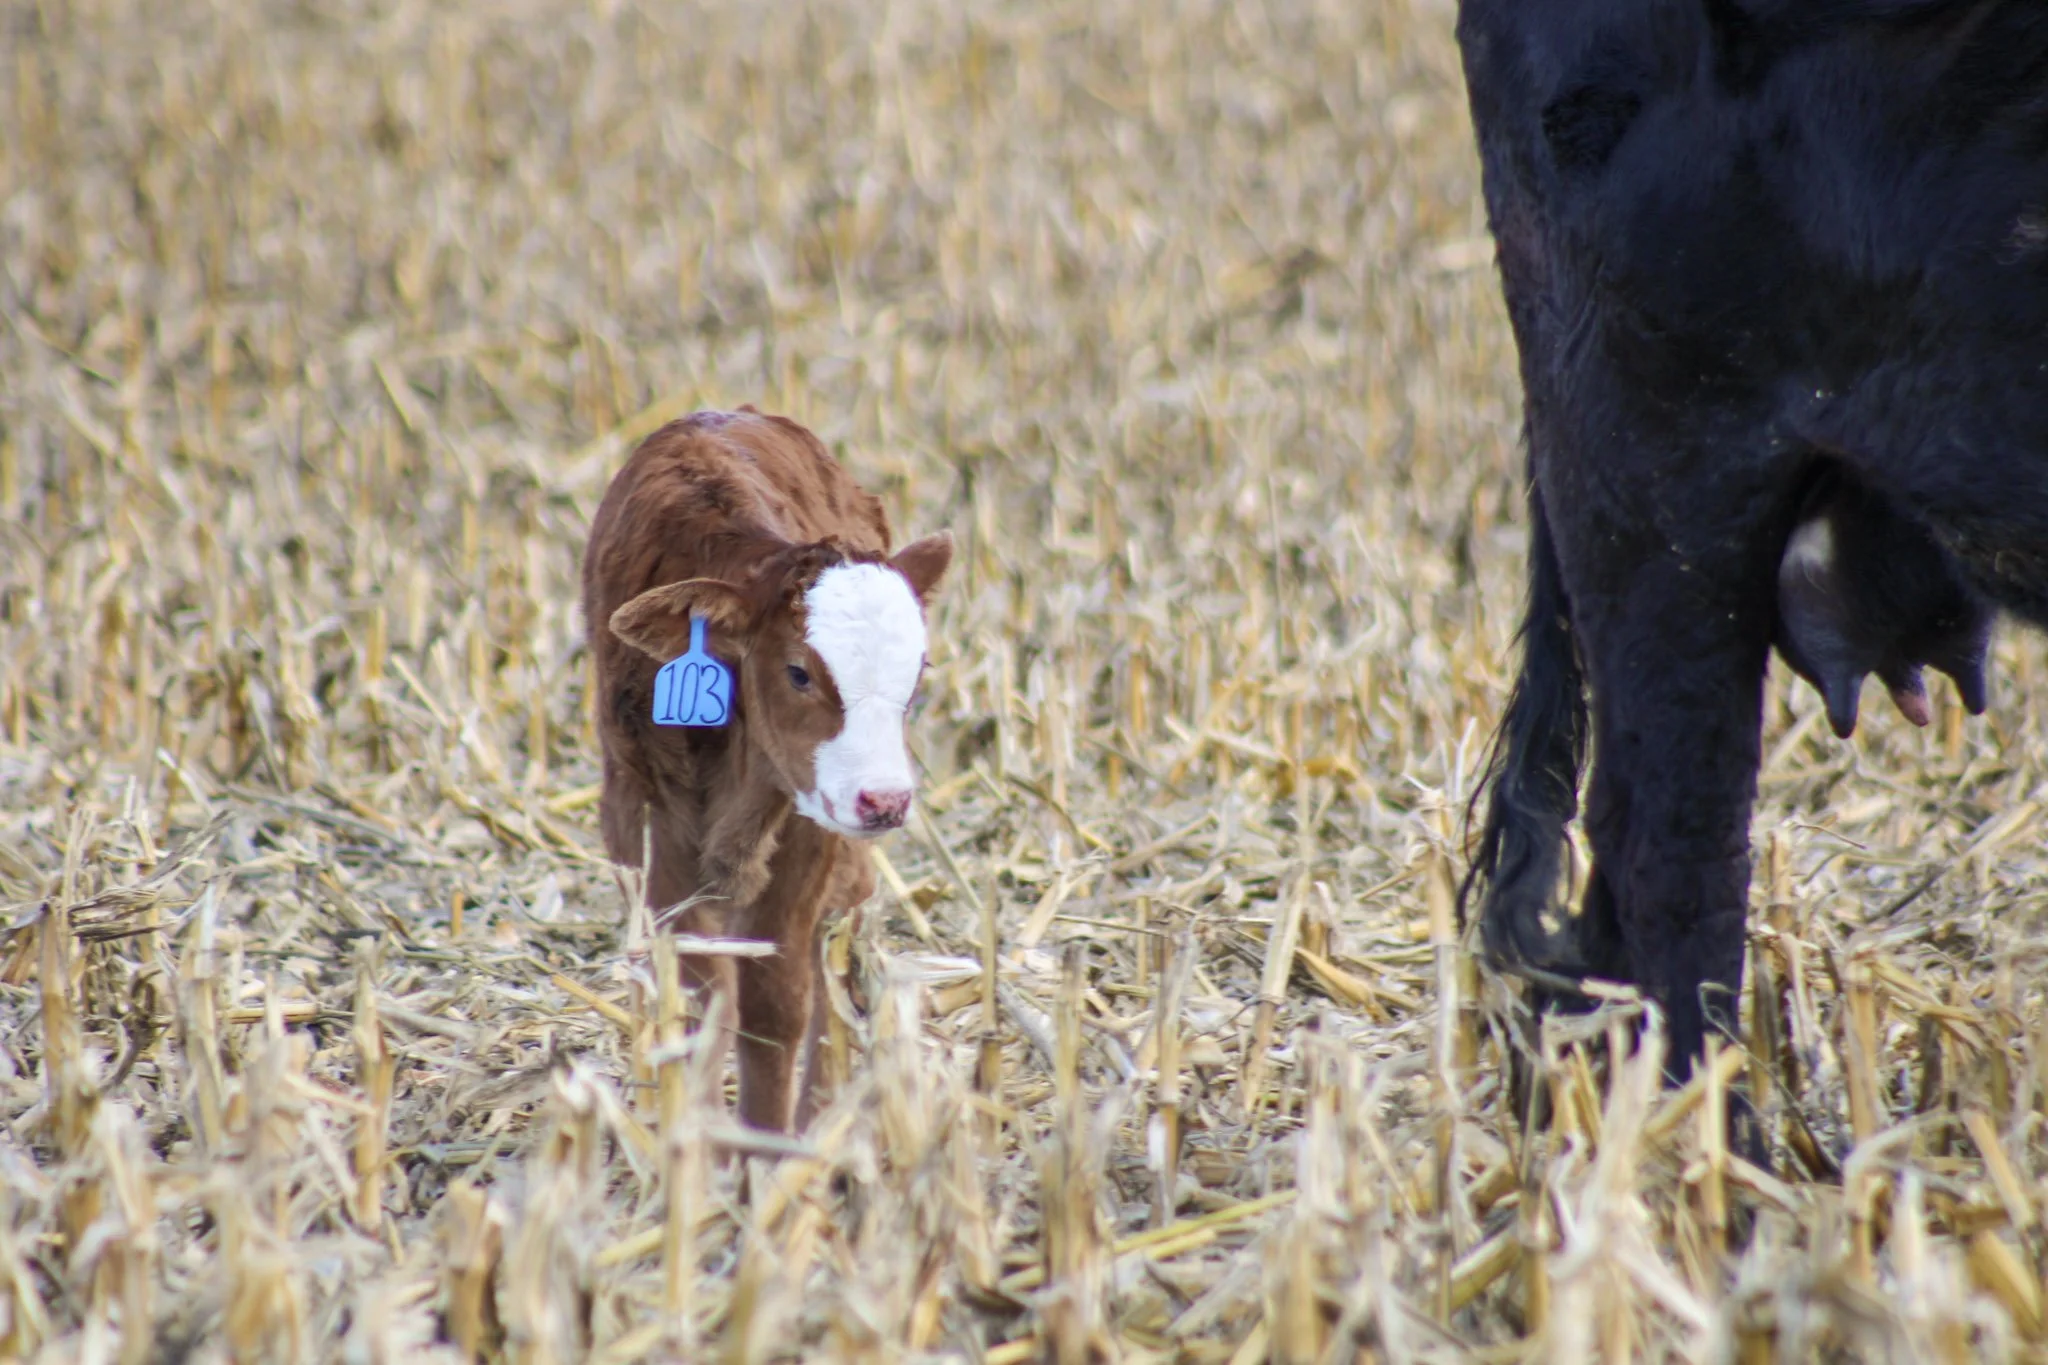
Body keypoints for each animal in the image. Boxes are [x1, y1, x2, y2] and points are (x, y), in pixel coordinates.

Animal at [582, 407, 951, 1132]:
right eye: (799, 672)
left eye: (917, 670)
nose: (885, 801)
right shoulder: (642, 818)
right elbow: (700, 1001)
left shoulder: (809, 822)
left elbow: (775, 1004)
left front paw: (769, 1150)